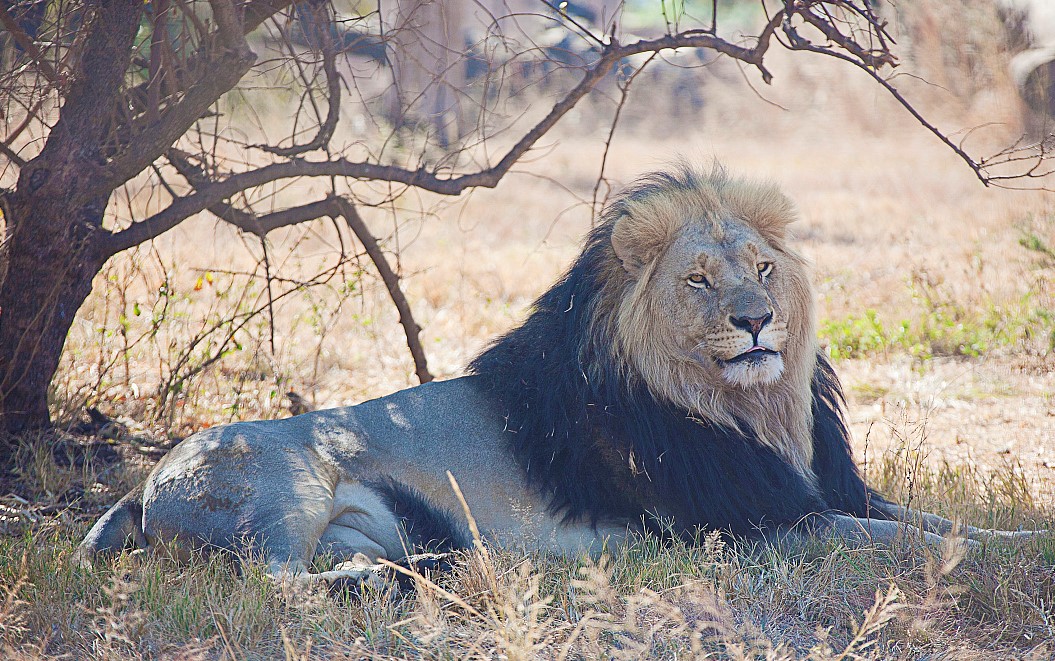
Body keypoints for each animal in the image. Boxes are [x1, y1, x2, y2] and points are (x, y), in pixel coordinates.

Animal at [78, 165, 1033, 586]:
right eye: (698, 279)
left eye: (762, 268)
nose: (756, 319)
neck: (754, 408)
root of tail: (145, 478)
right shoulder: (754, 528)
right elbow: (905, 541)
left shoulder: (820, 489)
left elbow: (939, 522)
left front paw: (1027, 537)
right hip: (284, 489)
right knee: (274, 582)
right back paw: (368, 587)